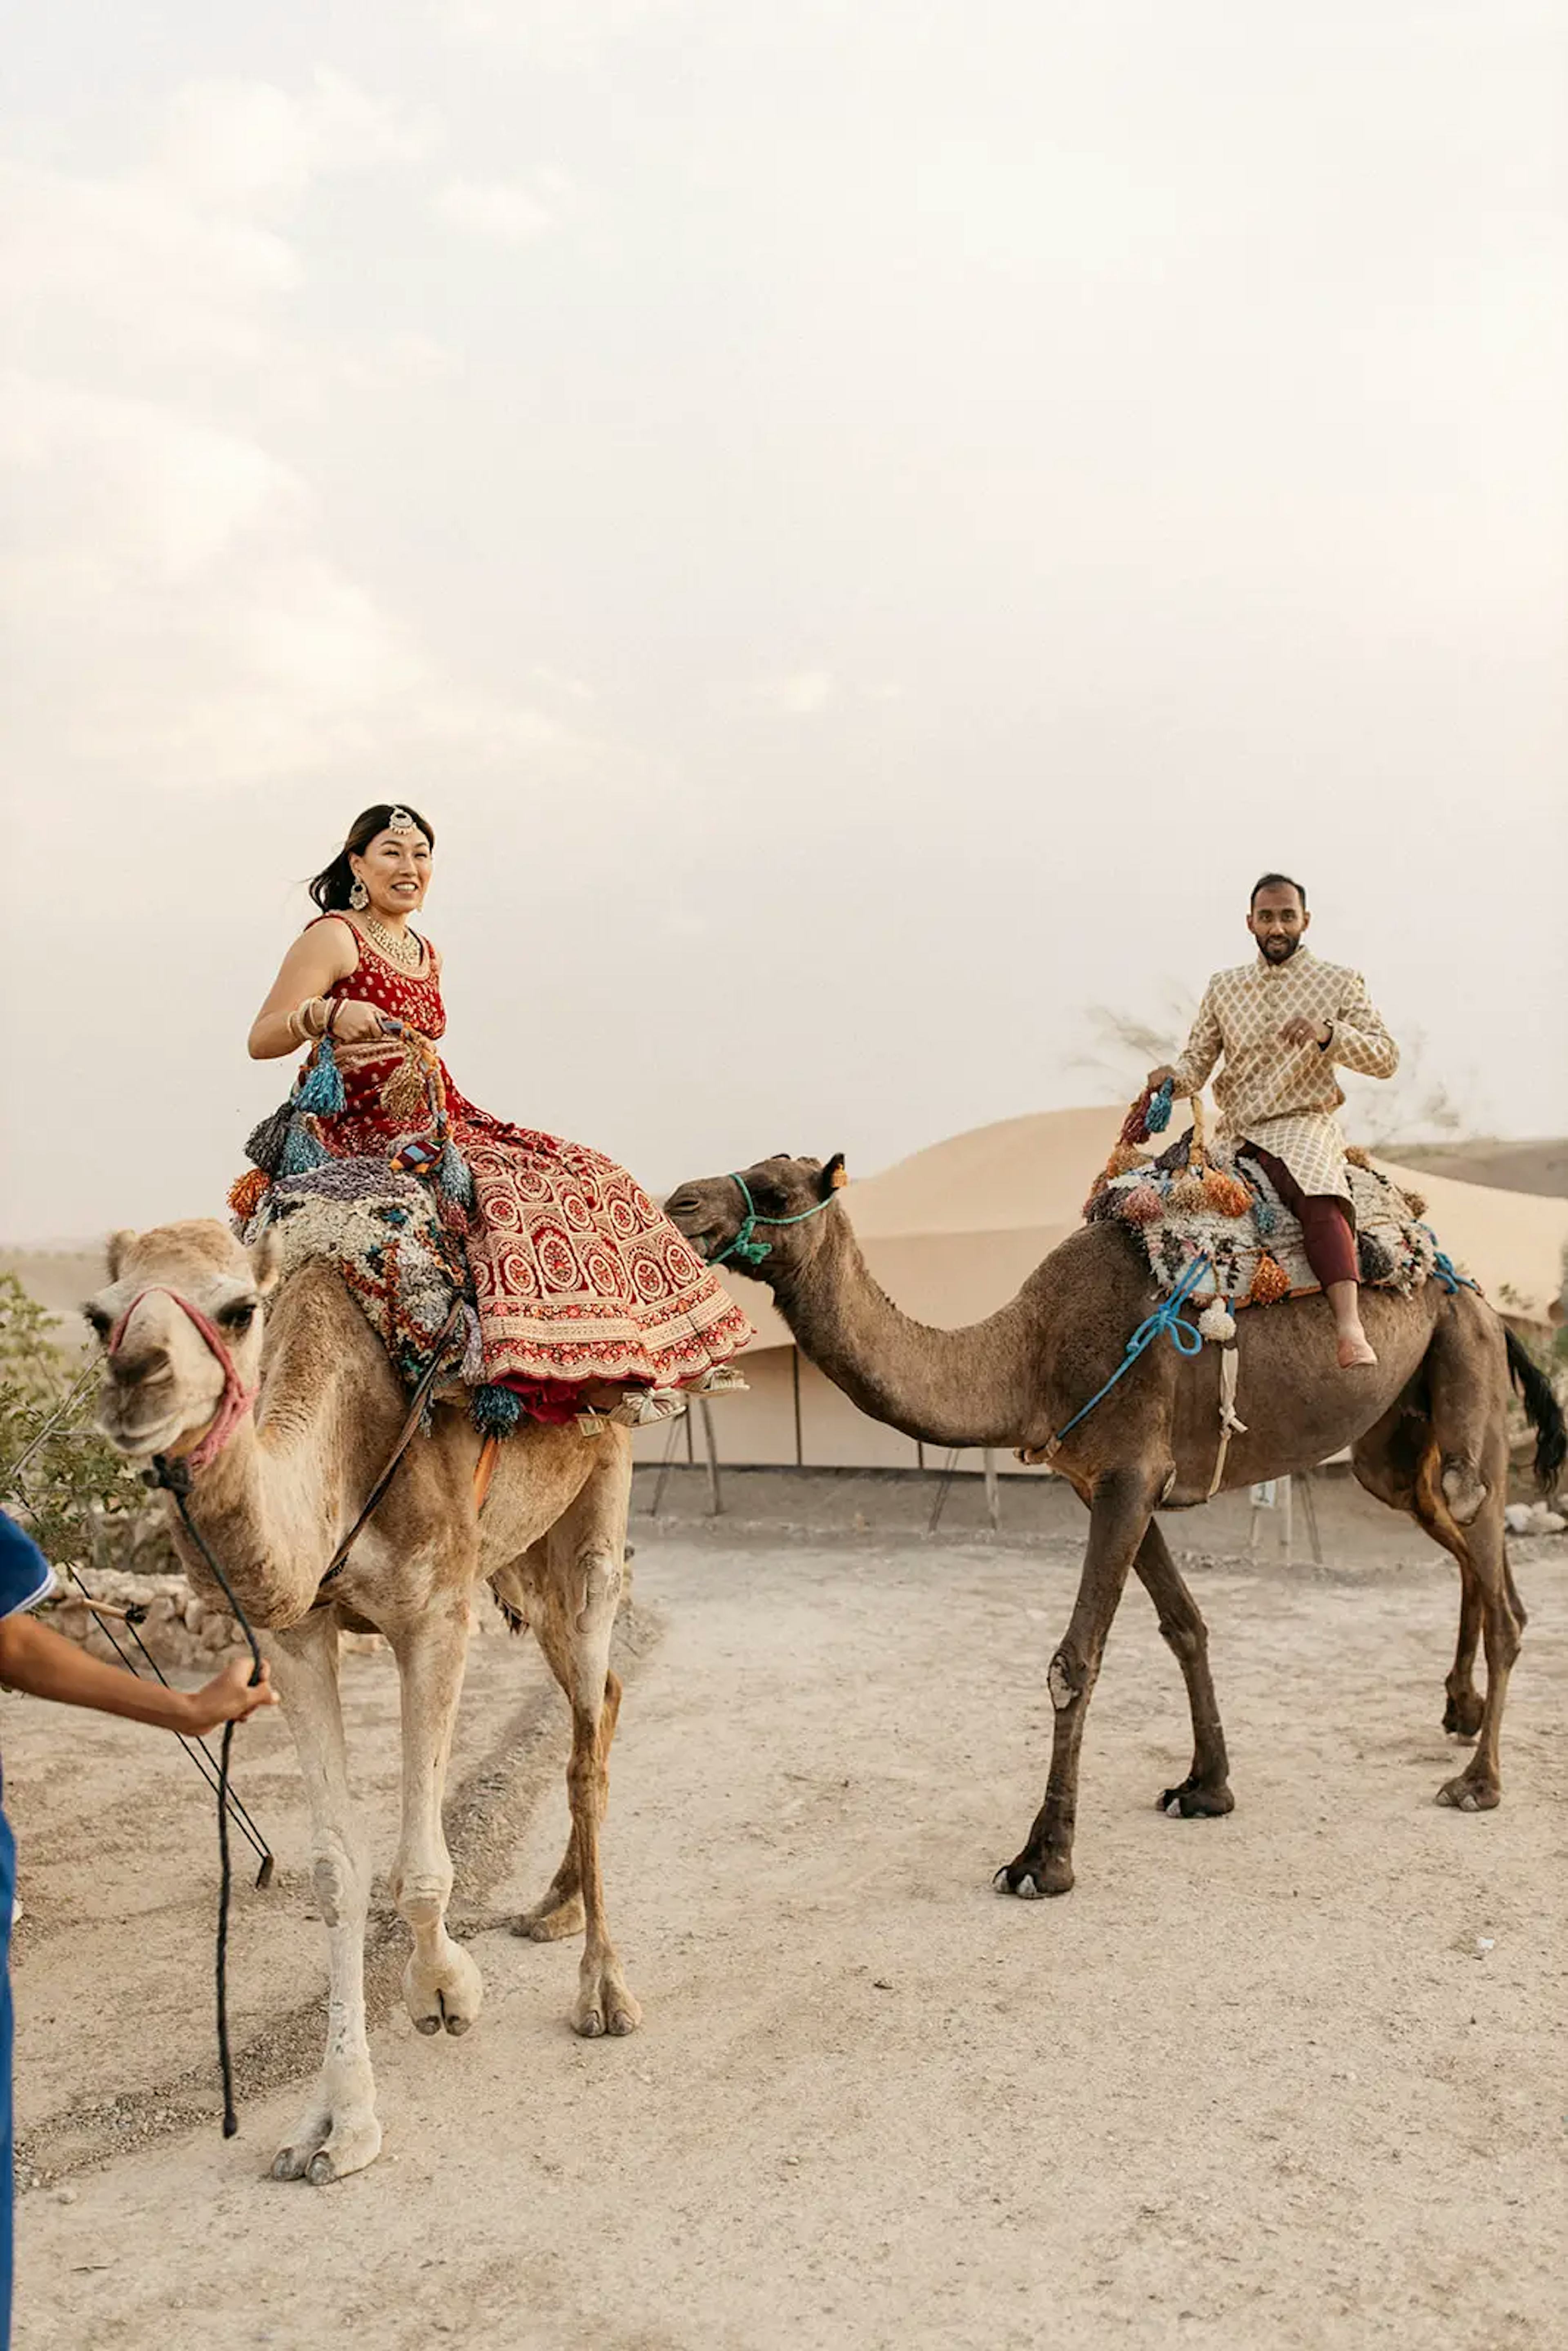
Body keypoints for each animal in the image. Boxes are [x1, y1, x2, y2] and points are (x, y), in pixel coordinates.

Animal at [85, 1213, 639, 2182]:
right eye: (98, 1316)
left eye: (239, 1310)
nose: (134, 1378)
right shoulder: (297, 1634)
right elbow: (336, 1869)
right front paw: (335, 2123)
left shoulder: (436, 1607)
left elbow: (420, 1865)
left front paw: (446, 1992)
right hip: (519, 1556)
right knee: (597, 1693)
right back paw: (553, 1906)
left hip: (600, 1485)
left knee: (583, 1734)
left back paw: (604, 1988)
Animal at [668, 1161, 1568, 1909]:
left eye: (775, 1188)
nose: (680, 1203)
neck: (1027, 1356)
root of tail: (1475, 1293)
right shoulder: (1106, 1480)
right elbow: (1184, 1625)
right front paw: (1207, 1785)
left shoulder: (1131, 1471)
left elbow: (1074, 1662)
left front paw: (1042, 1859)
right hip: (1391, 1437)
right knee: (1450, 1525)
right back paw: (1460, 1709)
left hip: (1465, 1370)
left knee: (1483, 1537)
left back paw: (1478, 1779)